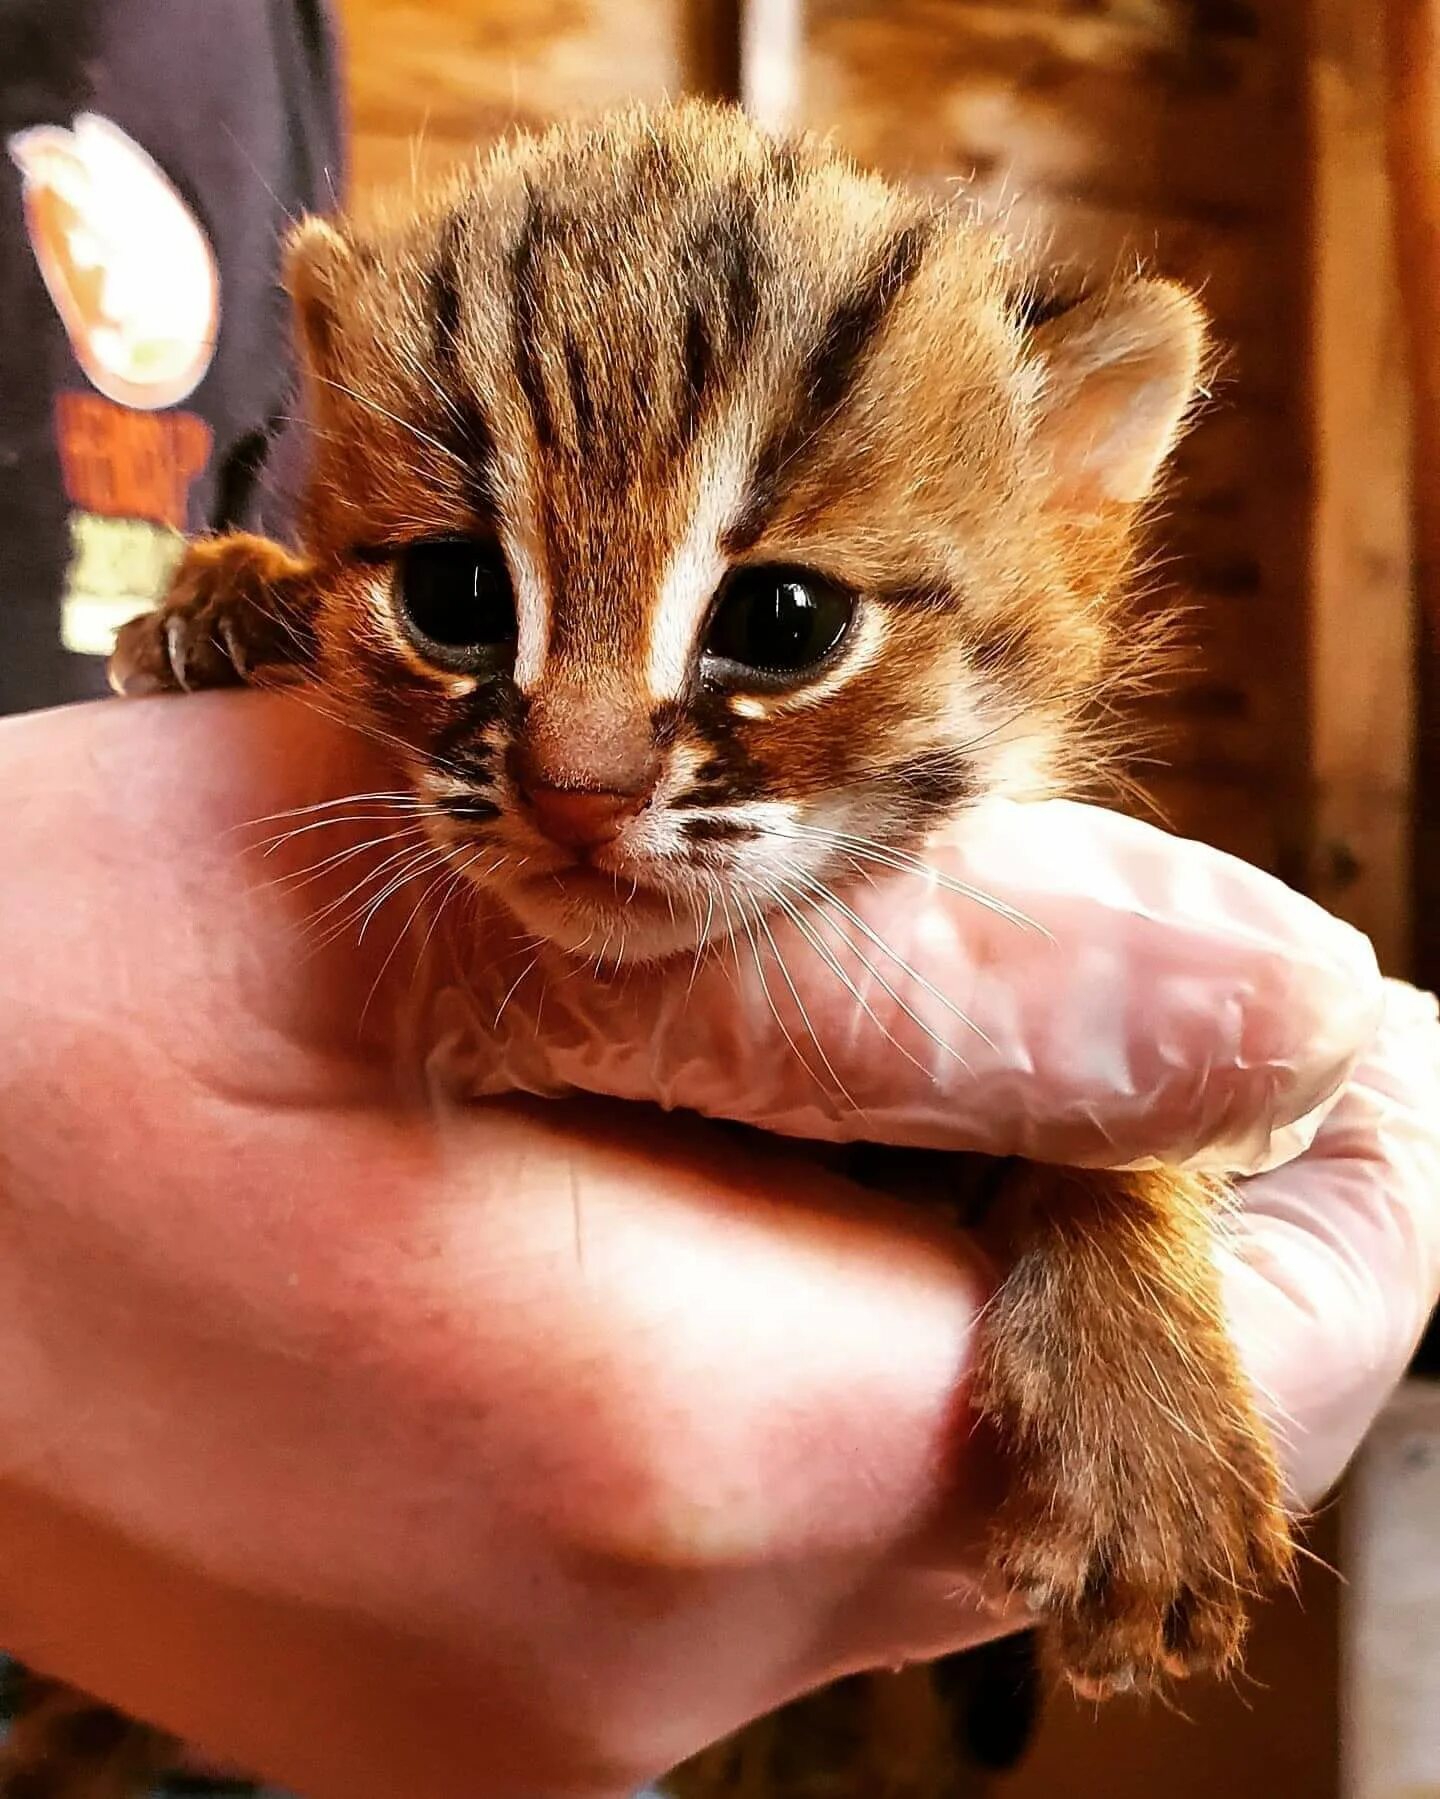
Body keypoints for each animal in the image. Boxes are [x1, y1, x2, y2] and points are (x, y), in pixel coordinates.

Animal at [0, 98, 1288, 1799]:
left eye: (785, 619)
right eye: (457, 594)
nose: (577, 787)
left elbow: (1105, 1131)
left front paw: (1153, 1417)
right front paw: (238, 592)